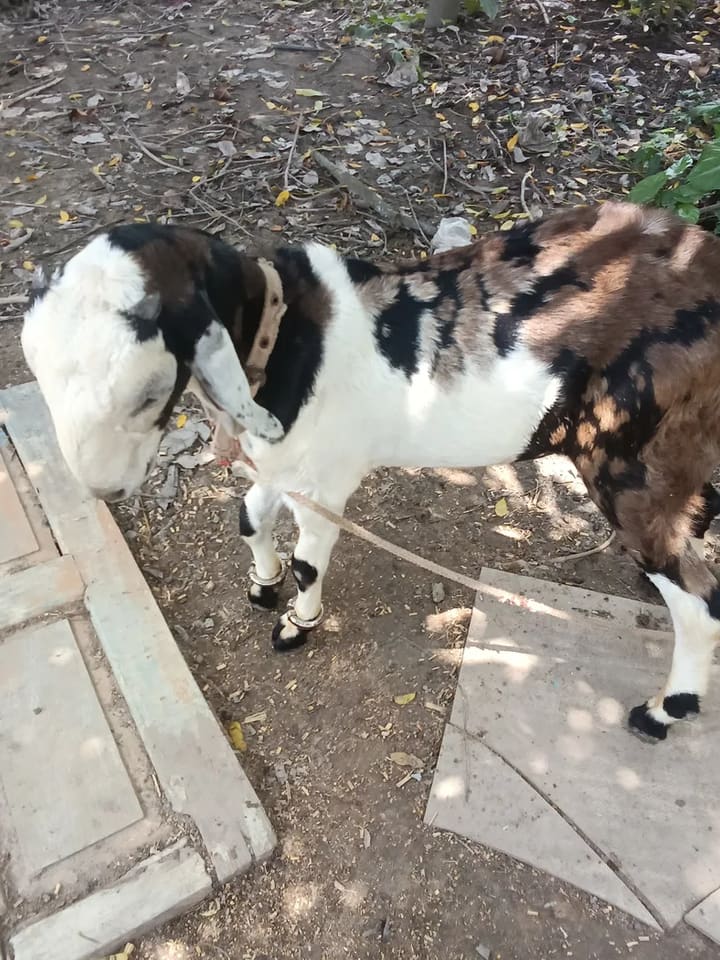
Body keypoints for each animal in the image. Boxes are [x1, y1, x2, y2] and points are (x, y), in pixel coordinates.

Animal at [22, 202, 720, 741]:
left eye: (146, 393)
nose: (103, 490)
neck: (287, 337)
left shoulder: (327, 478)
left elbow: (308, 562)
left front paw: (296, 625)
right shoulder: (283, 464)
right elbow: (248, 517)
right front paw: (262, 585)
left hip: (631, 462)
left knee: (699, 598)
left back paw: (663, 711)